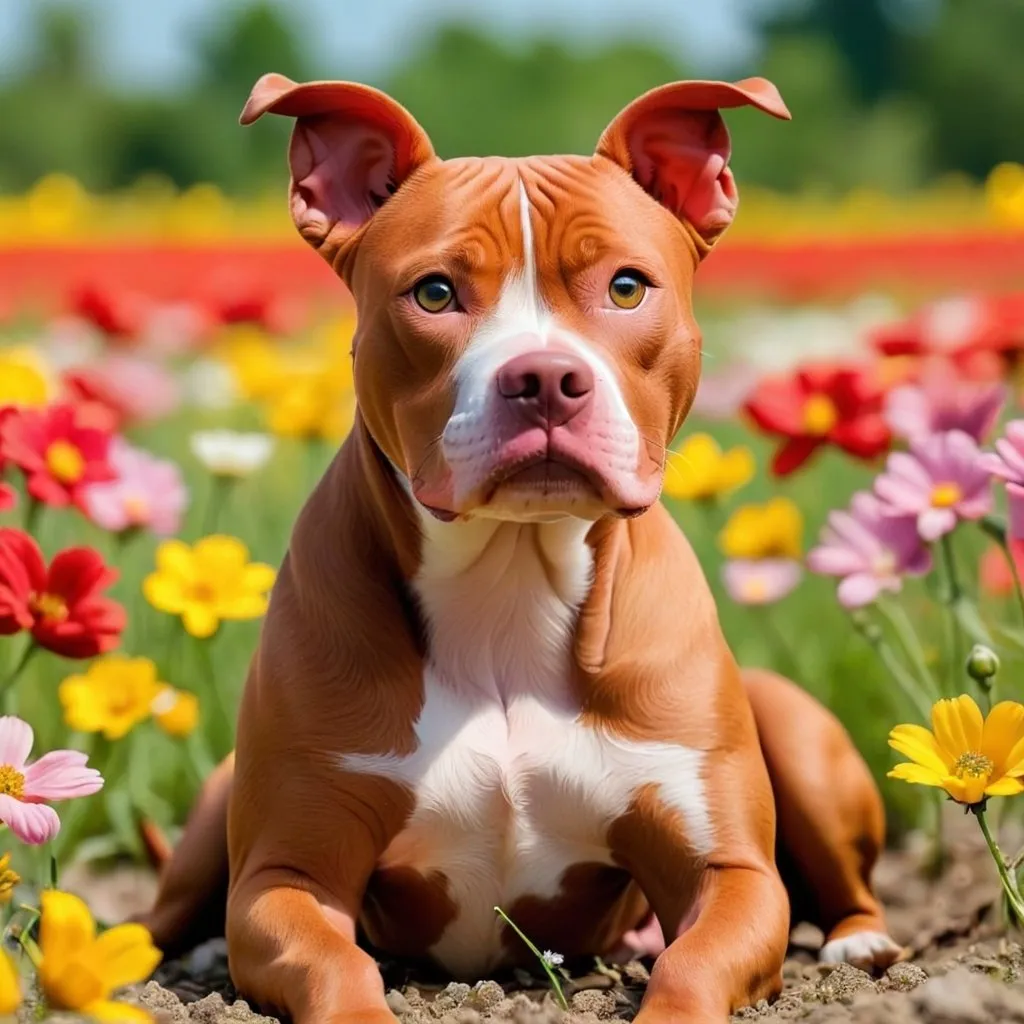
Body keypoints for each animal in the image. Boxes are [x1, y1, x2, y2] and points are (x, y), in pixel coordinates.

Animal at [140, 75, 901, 1024]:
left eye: (626, 286)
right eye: (434, 294)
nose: (543, 377)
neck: (510, 578)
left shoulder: (727, 869)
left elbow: (691, 963)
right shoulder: (289, 875)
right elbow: (334, 964)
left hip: (795, 728)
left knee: (848, 885)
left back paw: (861, 943)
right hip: (213, 815)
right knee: (161, 915)